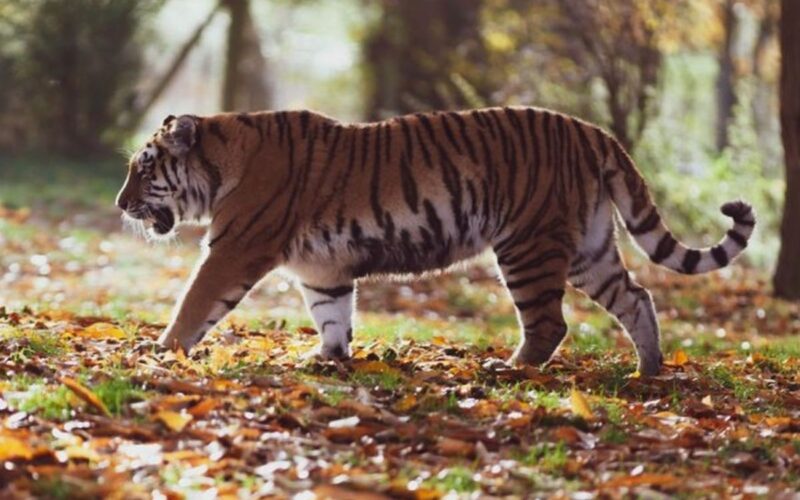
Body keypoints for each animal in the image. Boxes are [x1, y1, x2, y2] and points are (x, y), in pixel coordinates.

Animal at [115, 108, 755, 376]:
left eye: (143, 170)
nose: (120, 205)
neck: (224, 159)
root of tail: (592, 130)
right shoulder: (322, 269)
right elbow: (332, 314)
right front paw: (327, 358)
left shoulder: (234, 249)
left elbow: (194, 302)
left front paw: (161, 350)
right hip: (588, 249)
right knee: (637, 298)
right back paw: (649, 371)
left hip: (528, 245)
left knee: (550, 323)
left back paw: (510, 370)